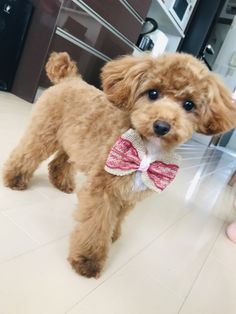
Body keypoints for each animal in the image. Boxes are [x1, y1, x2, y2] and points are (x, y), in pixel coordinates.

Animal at [2, 51, 236, 278]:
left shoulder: (127, 195)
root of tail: (70, 78)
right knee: (28, 153)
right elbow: (96, 227)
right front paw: (88, 260)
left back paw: (62, 183)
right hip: (46, 132)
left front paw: (113, 235)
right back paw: (15, 178)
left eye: (189, 104)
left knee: (61, 161)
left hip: (75, 140)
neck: (146, 150)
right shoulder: (103, 191)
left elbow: (116, 218)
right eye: (152, 93)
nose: (161, 126)